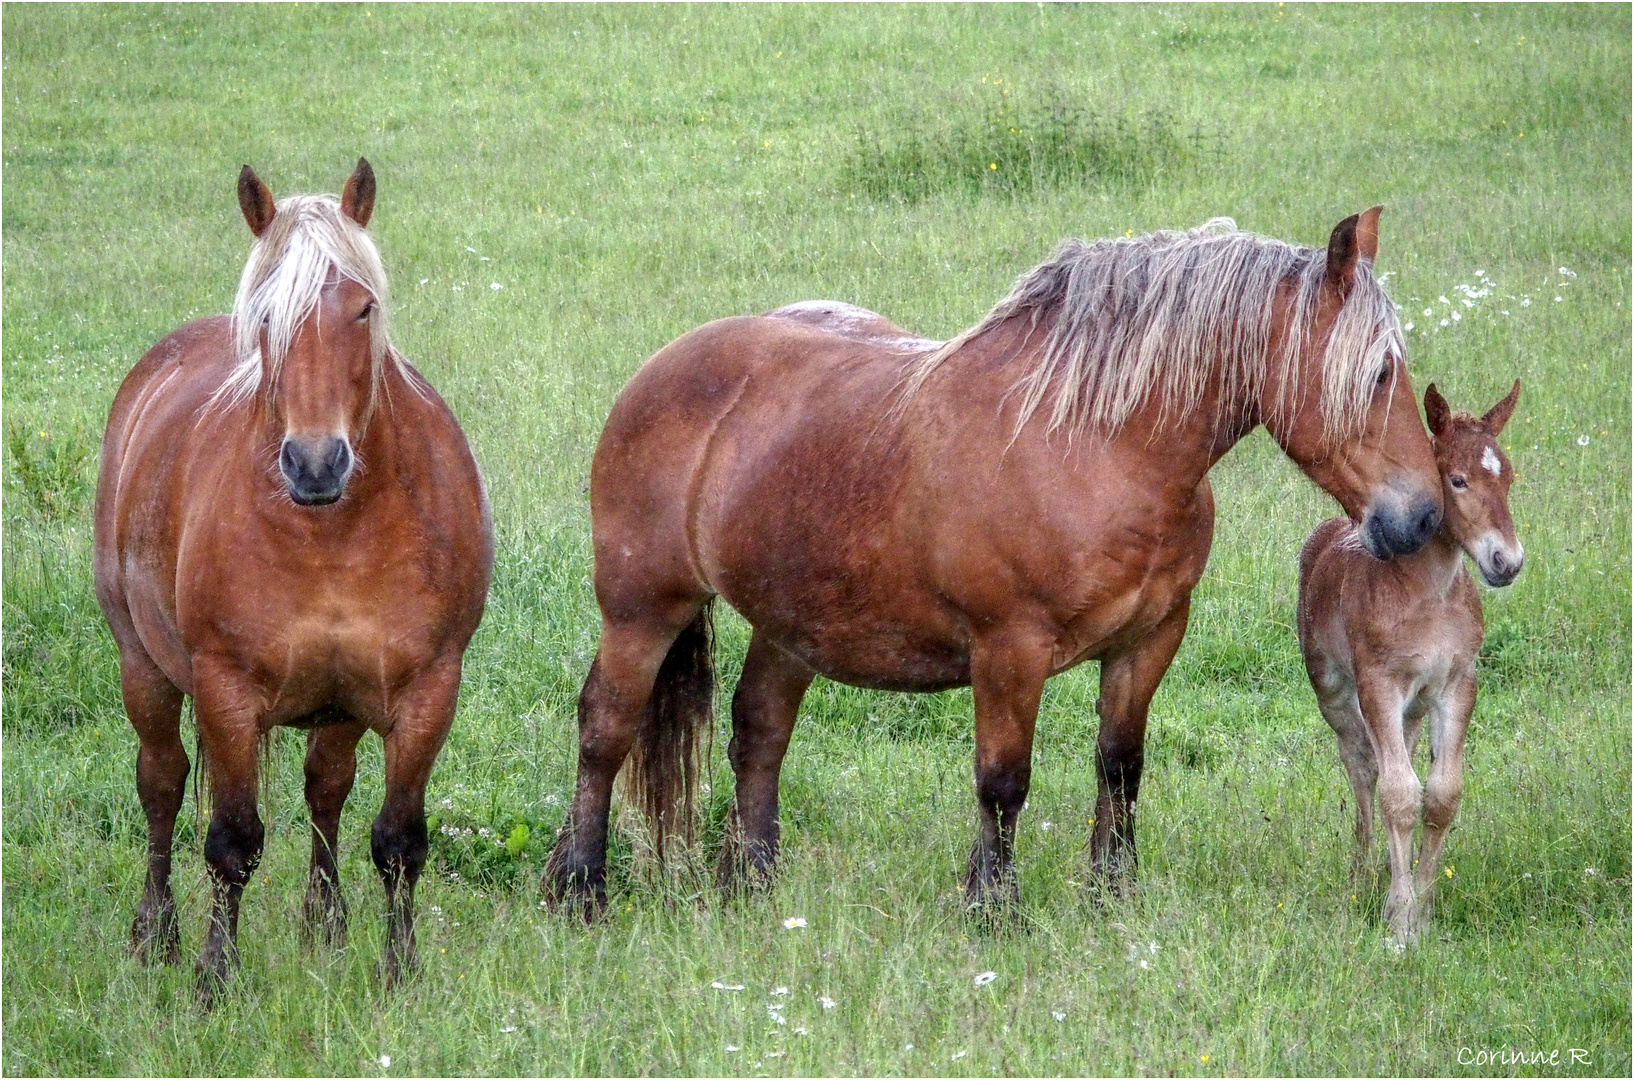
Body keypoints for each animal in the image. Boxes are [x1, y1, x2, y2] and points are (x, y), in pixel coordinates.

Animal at [93, 156, 490, 999]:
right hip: (143, 667)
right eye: (268, 316)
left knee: (326, 787)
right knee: (161, 785)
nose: (315, 463)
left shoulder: (428, 691)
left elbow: (399, 840)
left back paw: (324, 925)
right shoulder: (227, 693)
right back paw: (156, 933)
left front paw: (398, 969)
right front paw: (215, 975)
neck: (334, 534)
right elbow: (231, 842)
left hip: (338, 703)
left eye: (363, 309)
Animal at [545, 204, 1444, 908]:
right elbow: (1003, 780)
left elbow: (1121, 768)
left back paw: (755, 884)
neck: (1097, 446)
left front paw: (1111, 896)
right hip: (641, 608)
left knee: (759, 732)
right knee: (606, 728)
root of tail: (662, 370)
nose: (1423, 515)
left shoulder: (1149, 641)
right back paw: (580, 887)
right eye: (1377, 373)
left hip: (789, 623)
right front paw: (991, 906)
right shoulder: (1009, 651)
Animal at [1294, 380, 1522, 941]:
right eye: (1457, 480)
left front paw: (1422, 909)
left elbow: (1440, 795)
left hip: (1414, 709)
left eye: (1508, 477)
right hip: (1336, 694)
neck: (1429, 594)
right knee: (1361, 766)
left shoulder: (1458, 684)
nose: (1507, 562)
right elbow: (1398, 795)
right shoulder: (1378, 684)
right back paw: (1362, 870)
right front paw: (1398, 922)